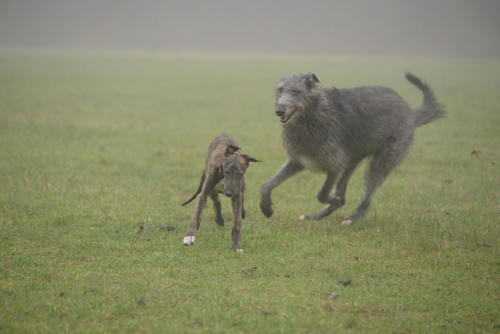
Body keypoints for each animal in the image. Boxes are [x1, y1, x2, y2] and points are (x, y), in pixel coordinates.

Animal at [260, 72, 444, 224]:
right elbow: (267, 184)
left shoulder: (334, 166)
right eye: (280, 90)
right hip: (352, 161)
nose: (279, 110)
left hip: (383, 159)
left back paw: (352, 218)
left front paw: (334, 199)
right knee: (344, 190)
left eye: (295, 92)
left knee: (367, 196)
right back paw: (316, 216)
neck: (311, 117)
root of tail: (411, 113)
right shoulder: (298, 160)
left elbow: (322, 194)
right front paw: (266, 206)